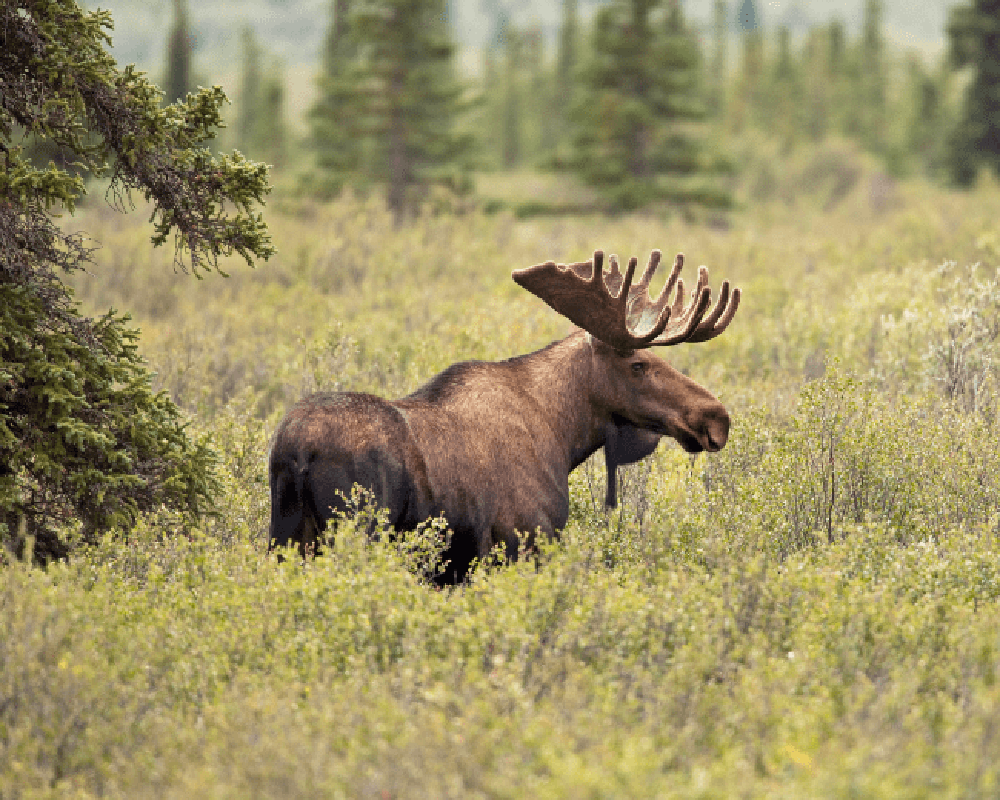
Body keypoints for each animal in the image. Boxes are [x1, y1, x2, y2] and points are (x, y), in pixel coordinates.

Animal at [270, 250, 740, 580]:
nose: (716, 417)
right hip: (355, 530)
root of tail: (296, 452)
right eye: (639, 365)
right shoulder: (522, 540)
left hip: (285, 536)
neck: (562, 435)